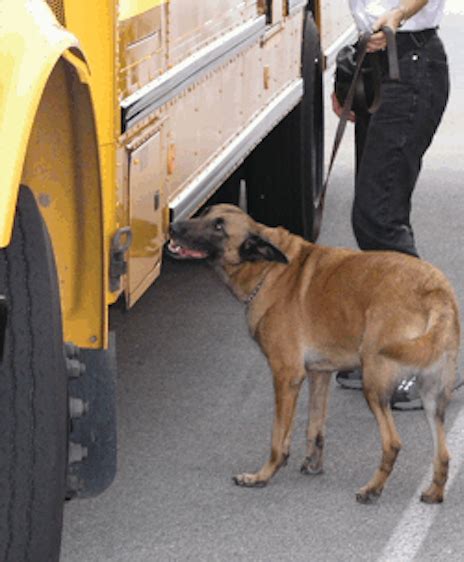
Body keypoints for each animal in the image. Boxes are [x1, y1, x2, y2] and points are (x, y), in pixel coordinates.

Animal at [169, 203, 458, 500]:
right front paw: (312, 464)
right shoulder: (319, 374)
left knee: (393, 443)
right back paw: (434, 492)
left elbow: (278, 437)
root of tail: (435, 289)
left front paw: (263, 475)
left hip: (375, 386)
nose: (173, 227)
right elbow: (314, 427)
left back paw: (373, 489)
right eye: (205, 211)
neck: (269, 270)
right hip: (431, 398)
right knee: (443, 454)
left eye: (218, 226)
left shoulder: (286, 376)